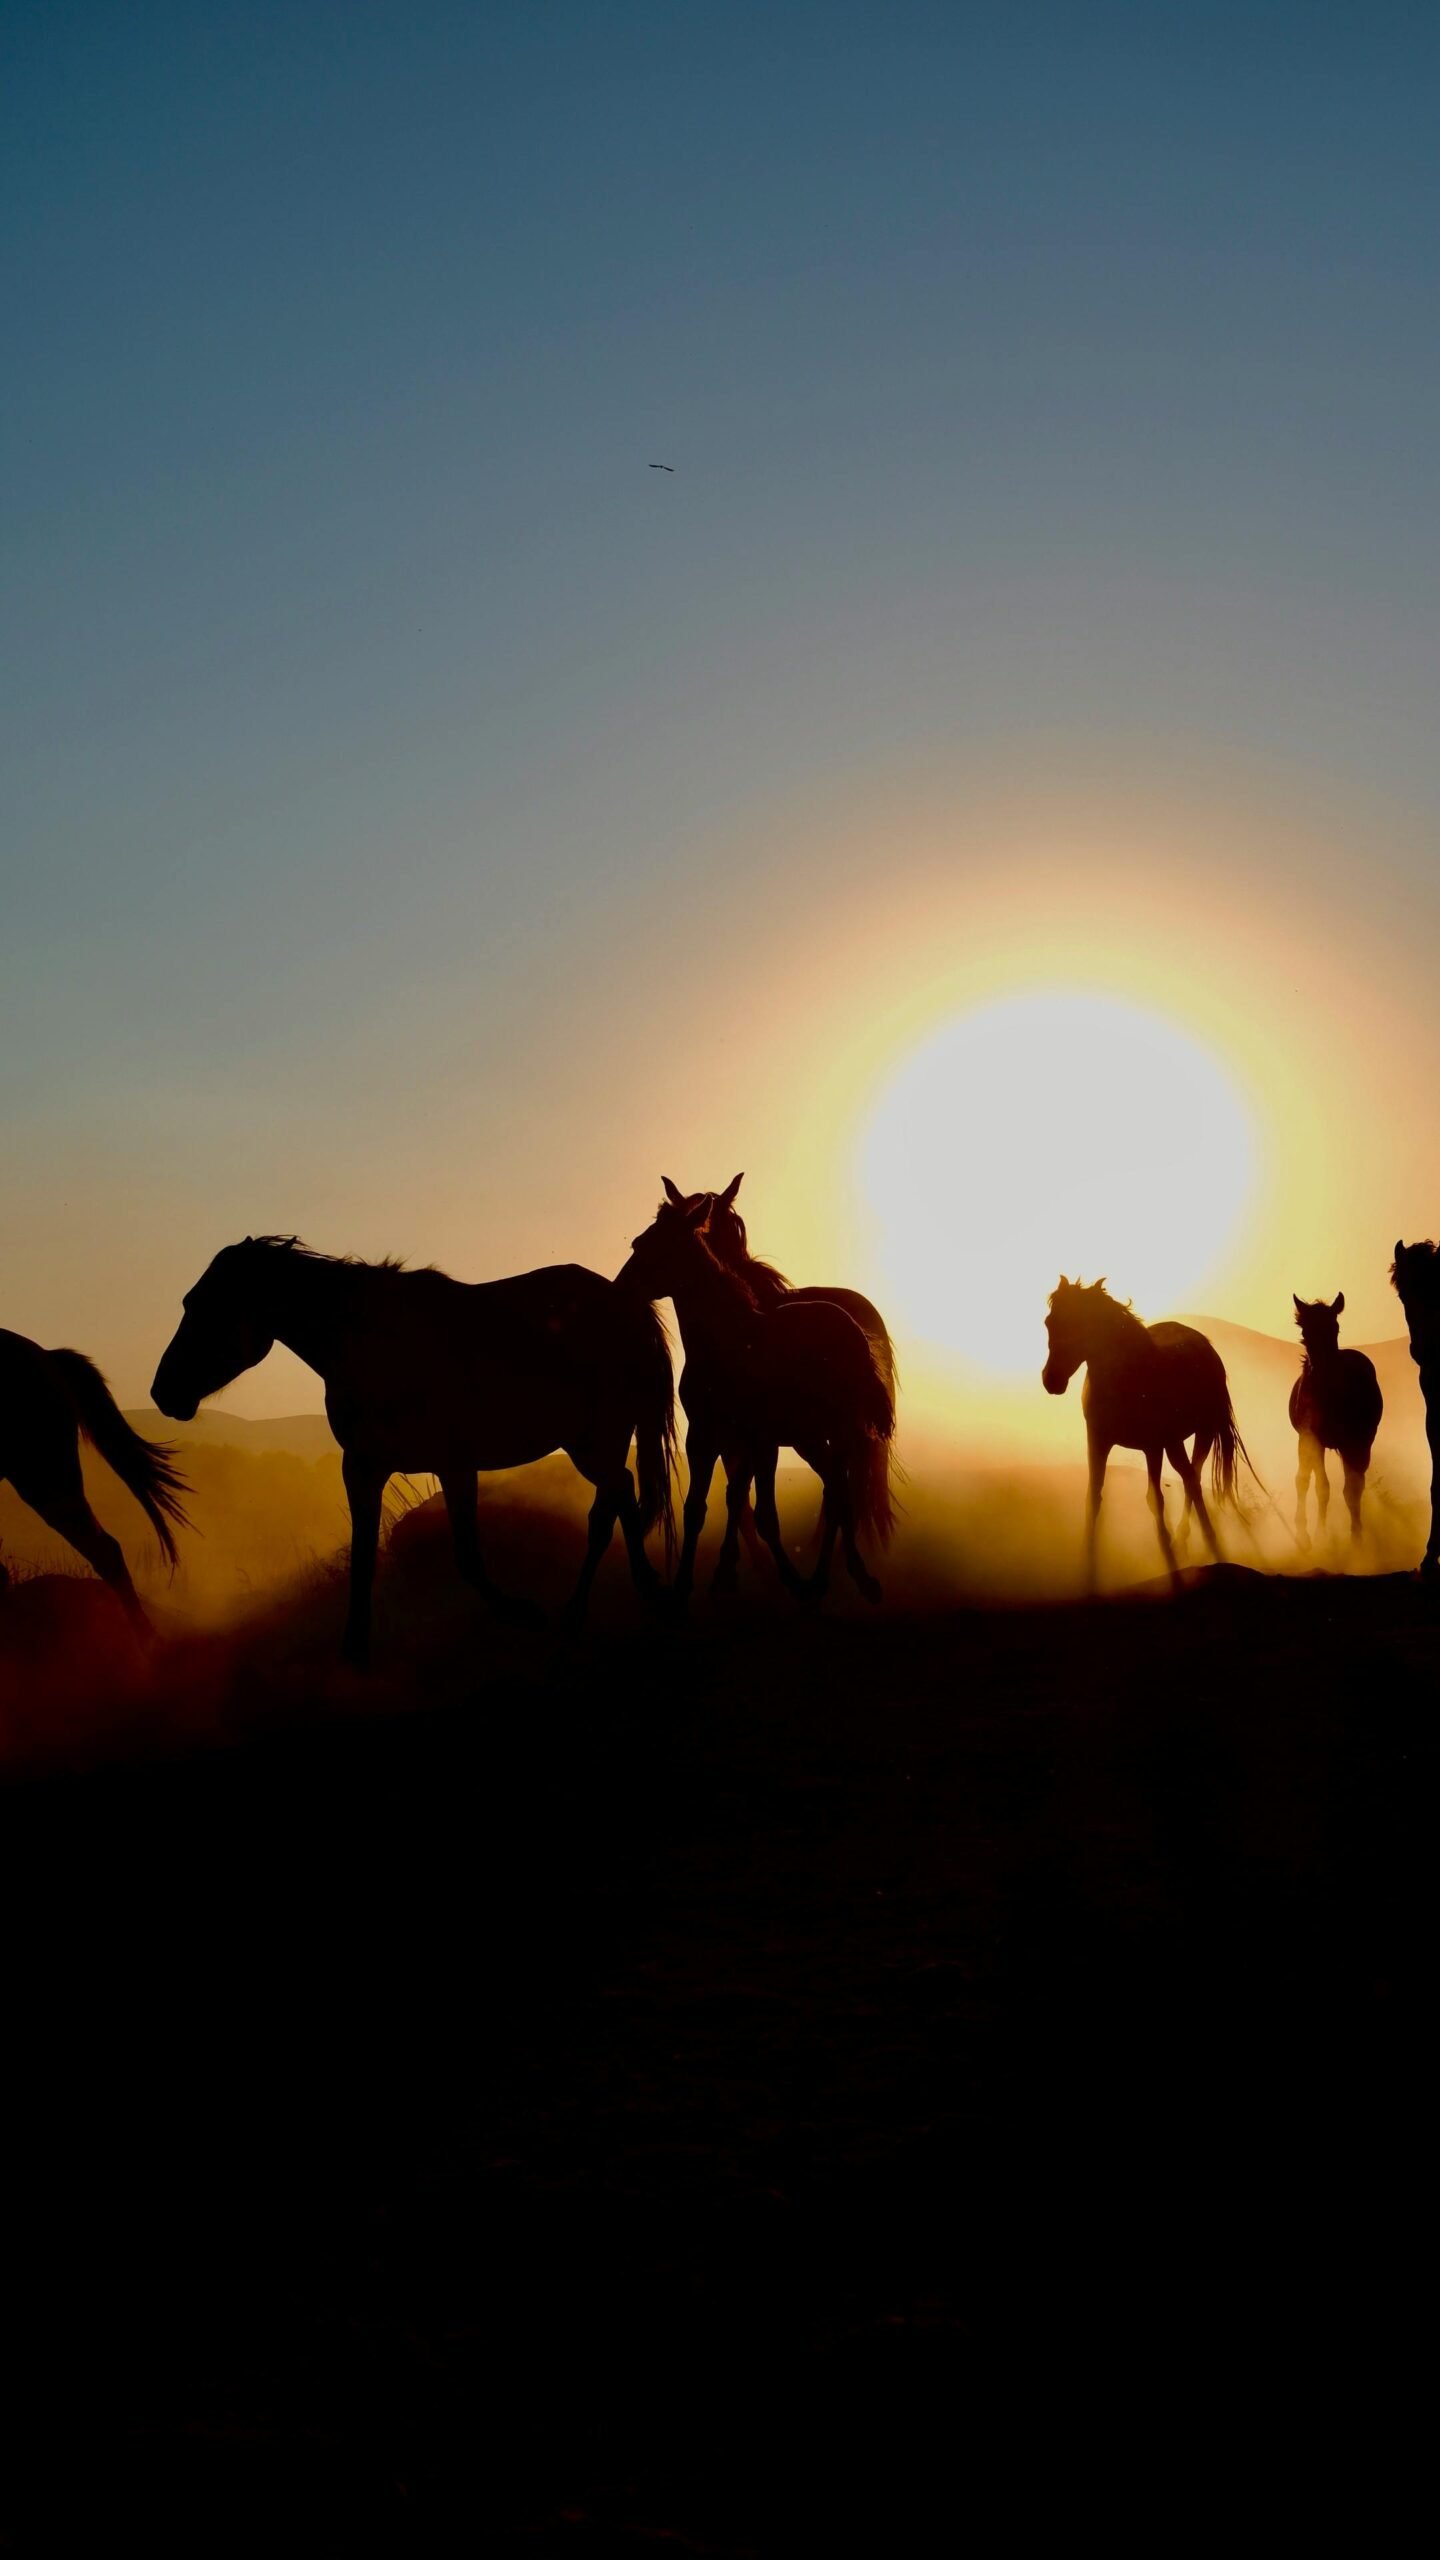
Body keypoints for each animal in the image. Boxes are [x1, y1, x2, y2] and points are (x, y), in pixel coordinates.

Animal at [151, 1237, 676, 1662]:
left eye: (207, 1306)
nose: (162, 1393)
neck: (371, 1342)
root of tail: (627, 1304)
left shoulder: (455, 1465)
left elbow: (467, 1555)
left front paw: (520, 1612)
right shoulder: (363, 1467)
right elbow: (363, 1555)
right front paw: (354, 1647)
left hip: (595, 1441)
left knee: (614, 1504)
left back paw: (607, 1603)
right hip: (598, 1443)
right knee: (617, 1500)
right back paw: (613, 1601)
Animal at [618, 1190, 895, 1609]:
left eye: (648, 1244)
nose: (618, 1288)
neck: (730, 1343)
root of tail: (851, 1323)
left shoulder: (758, 1441)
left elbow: (760, 1512)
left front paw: (786, 1580)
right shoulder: (704, 1437)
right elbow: (699, 1508)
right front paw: (683, 1587)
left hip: (840, 1432)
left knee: (842, 1493)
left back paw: (842, 1580)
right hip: (809, 1438)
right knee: (836, 1489)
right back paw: (828, 1579)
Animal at [1042, 1277, 1252, 1585]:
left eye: (1081, 1323)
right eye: (1050, 1322)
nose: (1051, 1380)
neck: (1126, 1379)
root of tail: (1202, 1341)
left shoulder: (1153, 1446)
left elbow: (1156, 1500)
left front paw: (1171, 1560)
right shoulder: (1098, 1442)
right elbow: (1093, 1499)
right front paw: (1087, 1568)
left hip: (1198, 1434)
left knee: (1192, 1480)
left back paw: (1205, 1541)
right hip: (1176, 1443)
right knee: (1190, 1477)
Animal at [1288, 1292, 1383, 1550]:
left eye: (1335, 1328)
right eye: (1305, 1331)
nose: (1321, 1370)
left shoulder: (1355, 1443)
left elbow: (1351, 1489)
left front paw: (1355, 1539)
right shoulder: (1310, 1439)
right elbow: (1315, 1485)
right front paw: (1312, 1535)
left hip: (1359, 1444)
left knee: (1355, 1484)